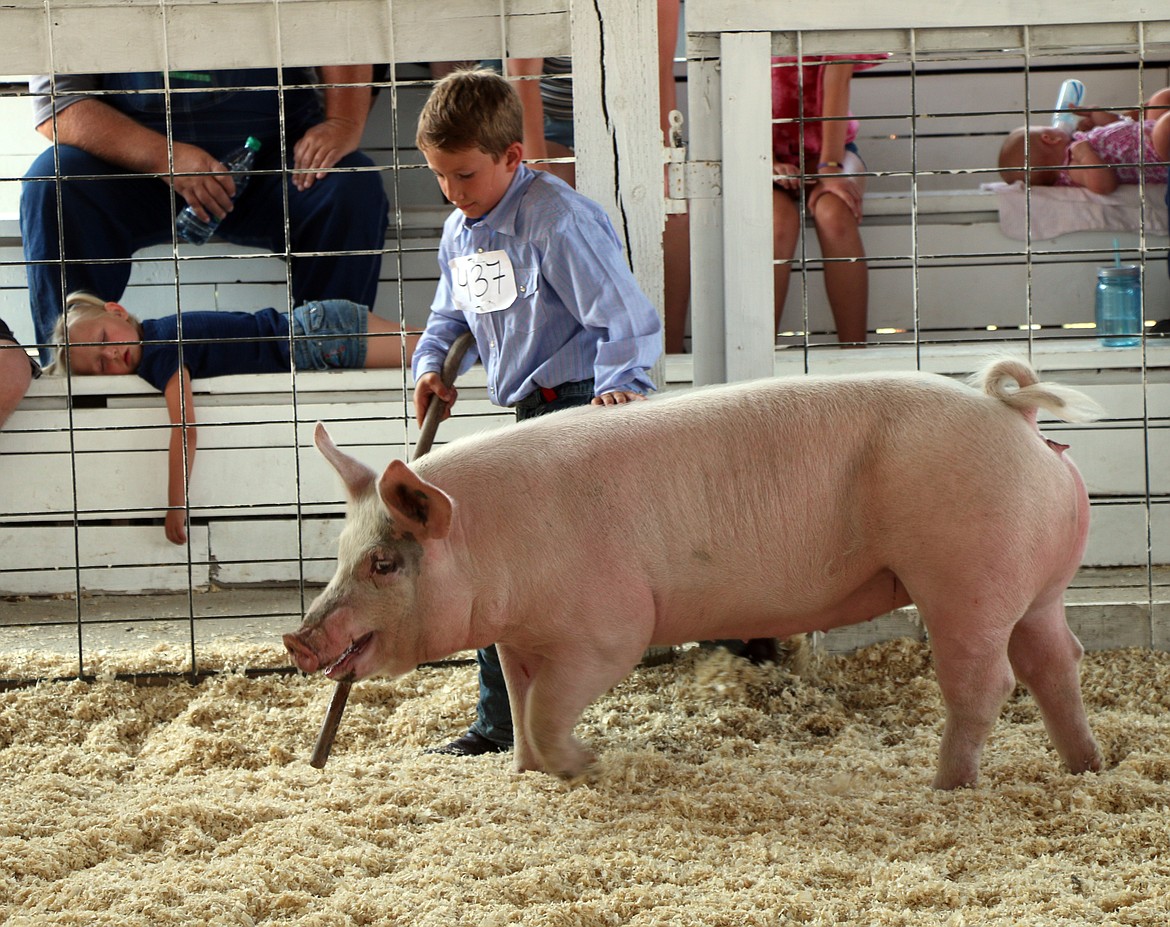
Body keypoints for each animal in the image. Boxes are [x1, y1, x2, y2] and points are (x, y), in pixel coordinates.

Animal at [283, 355, 1104, 791]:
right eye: (340, 551)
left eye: (385, 562)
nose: (297, 639)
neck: (499, 545)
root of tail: (1016, 417)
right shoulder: (518, 637)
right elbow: (520, 700)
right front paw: (530, 774)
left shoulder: (609, 628)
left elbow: (549, 707)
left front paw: (586, 764)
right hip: (1036, 584)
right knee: (1055, 661)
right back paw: (1086, 768)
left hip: (966, 573)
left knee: (987, 679)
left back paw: (945, 785)